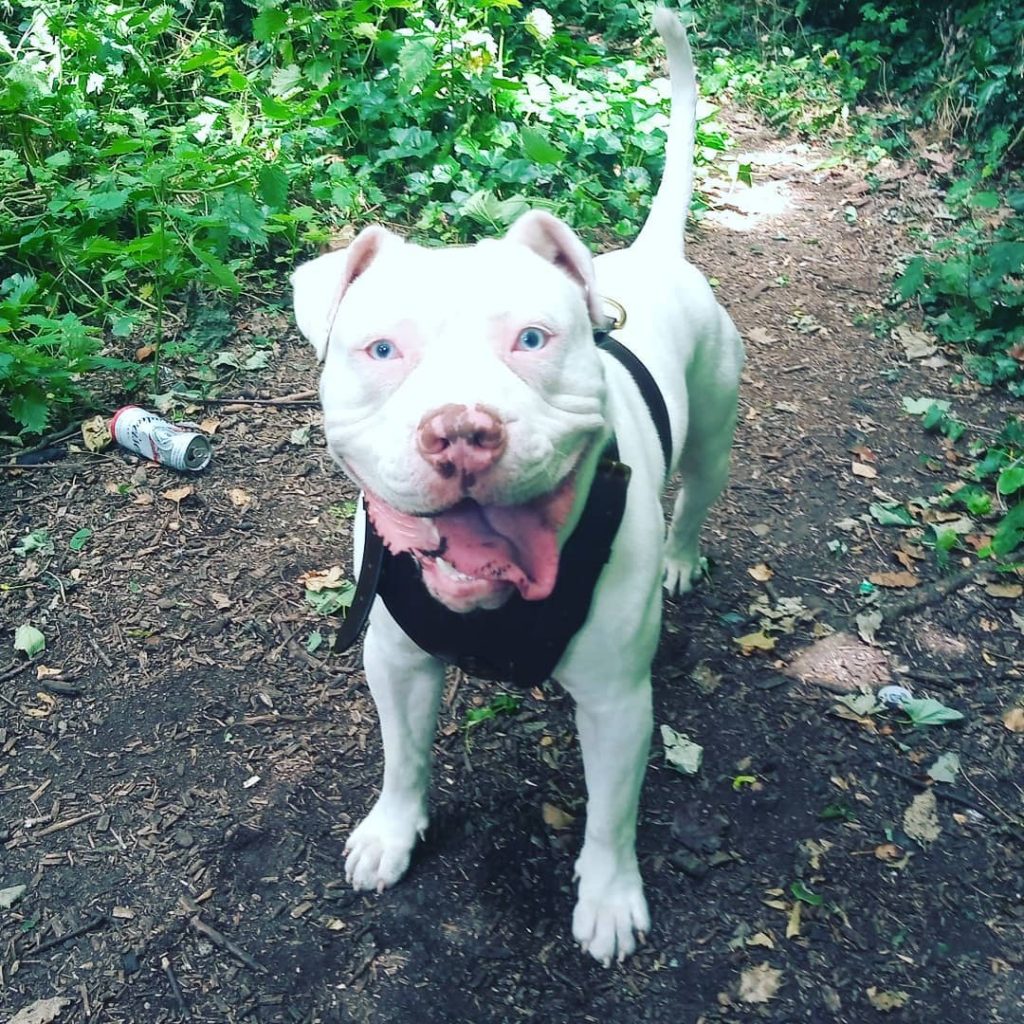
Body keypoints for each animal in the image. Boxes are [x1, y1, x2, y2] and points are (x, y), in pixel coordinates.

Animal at [292, 9, 741, 966]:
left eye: (533, 339)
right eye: (381, 349)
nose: (461, 431)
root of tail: (651, 254)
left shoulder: (617, 699)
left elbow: (610, 815)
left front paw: (608, 899)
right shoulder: (396, 661)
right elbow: (403, 757)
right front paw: (394, 831)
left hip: (715, 434)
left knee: (696, 498)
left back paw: (683, 558)